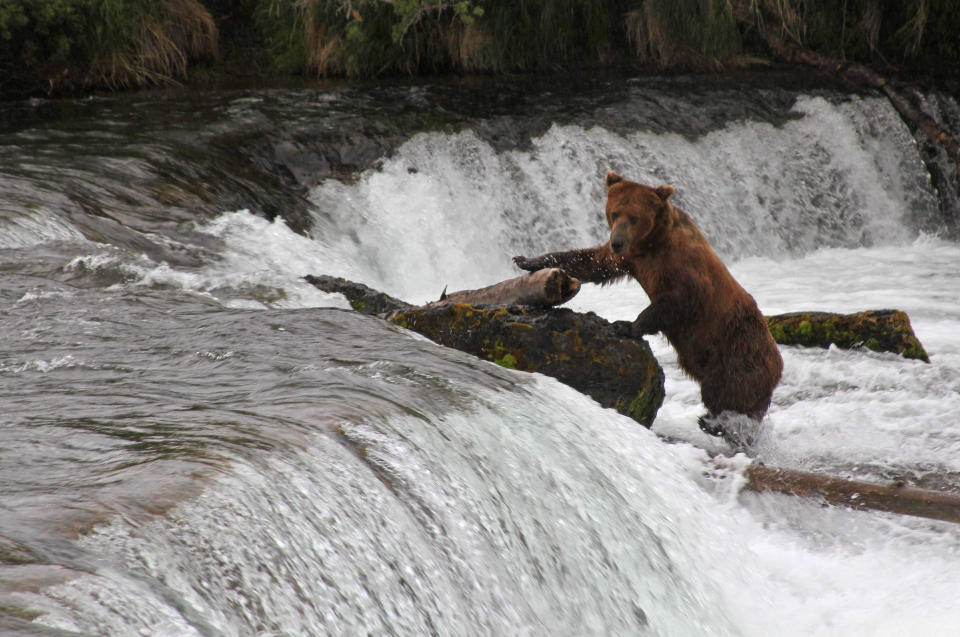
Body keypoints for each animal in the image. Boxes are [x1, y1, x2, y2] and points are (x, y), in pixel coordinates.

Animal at [512, 173, 784, 442]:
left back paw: (715, 422)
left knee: (724, 393)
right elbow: (591, 261)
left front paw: (625, 325)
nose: (617, 241)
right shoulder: (628, 258)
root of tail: (778, 365)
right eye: (614, 213)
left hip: (736, 355)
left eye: (634, 217)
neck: (651, 244)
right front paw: (527, 260)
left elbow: (675, 301)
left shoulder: (683, 269)